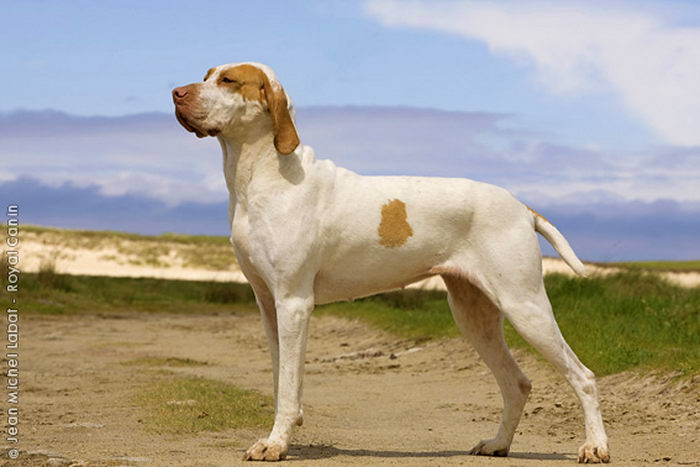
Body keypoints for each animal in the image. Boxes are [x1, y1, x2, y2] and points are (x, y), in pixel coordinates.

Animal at [172, 62, 608, 464]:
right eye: (206, 75)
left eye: (228, 80)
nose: (176, 93)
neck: (264, 176)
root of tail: (521, 207)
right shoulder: (268, 305)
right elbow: (283, 381)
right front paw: (282, 432)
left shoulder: (293, 303)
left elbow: (288, 383)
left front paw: (275, 444)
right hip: (474, 316)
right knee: (517, 383)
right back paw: (498, 444)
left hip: (525, 306)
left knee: (583, 377)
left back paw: (596, 447)